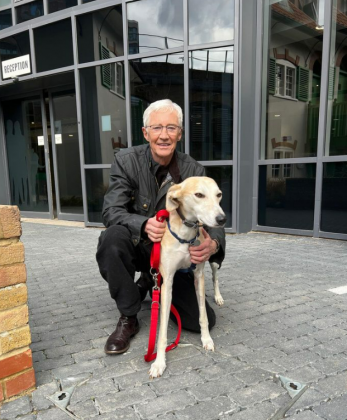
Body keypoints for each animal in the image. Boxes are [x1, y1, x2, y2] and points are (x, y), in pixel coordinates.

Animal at [149, 176, 226, 378]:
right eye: (199, 194)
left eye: (219, 194)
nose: (222, 219)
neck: (186, 235)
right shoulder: (167, 282)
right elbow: (161, 331)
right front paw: (159, 363)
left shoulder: (198, 276)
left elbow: (203, 315)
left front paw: (206, 340)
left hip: (213, 260)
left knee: (215, 277)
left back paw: (218, 297)